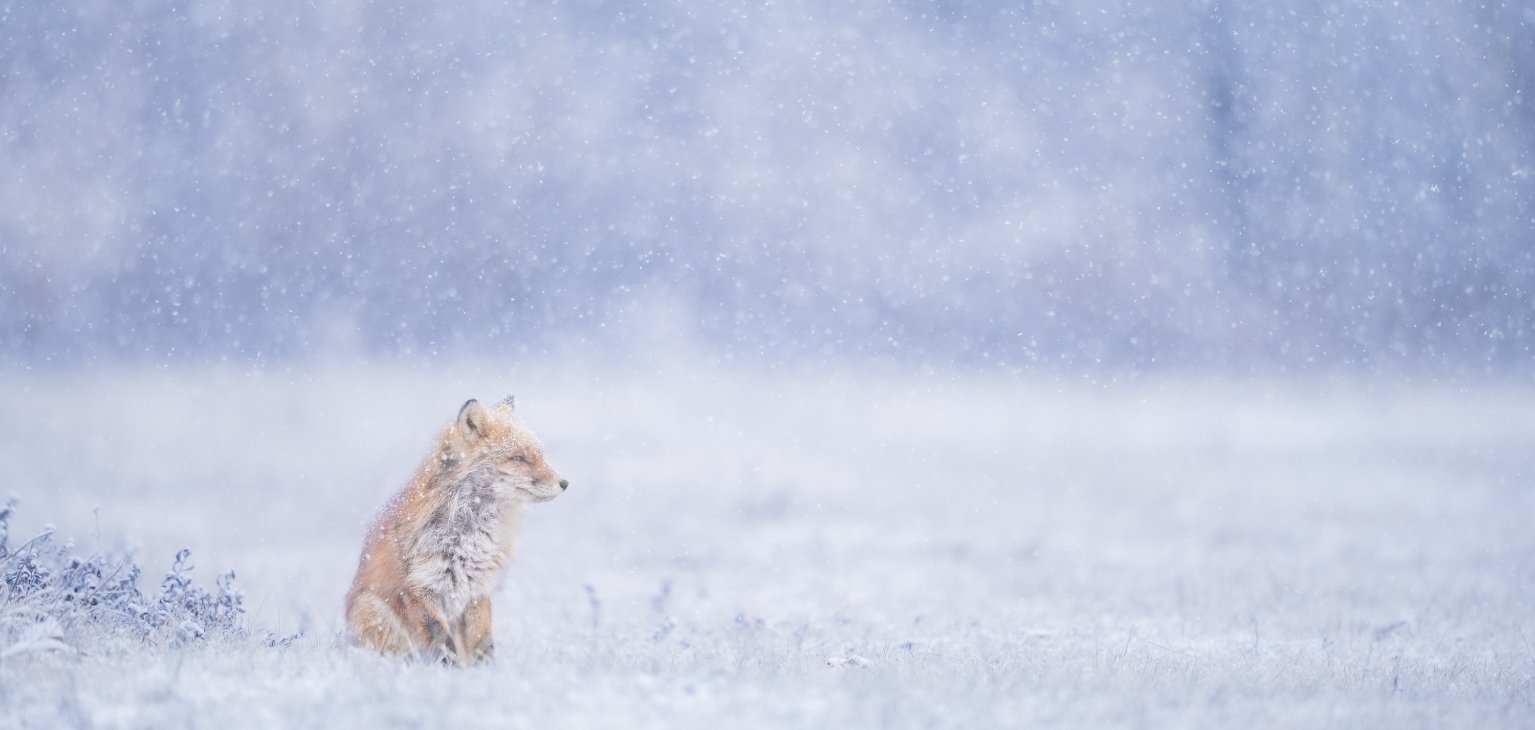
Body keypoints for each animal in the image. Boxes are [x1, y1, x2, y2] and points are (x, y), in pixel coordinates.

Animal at [345, 395, 567, 665]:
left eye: (540, 455)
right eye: (519, 458)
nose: (564, 483)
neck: (468, 535)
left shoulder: (478, 589)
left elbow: (482, 642)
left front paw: (487, 671)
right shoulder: (419, 588)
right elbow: (442, 640)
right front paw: (450, 670)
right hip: (371, 610)